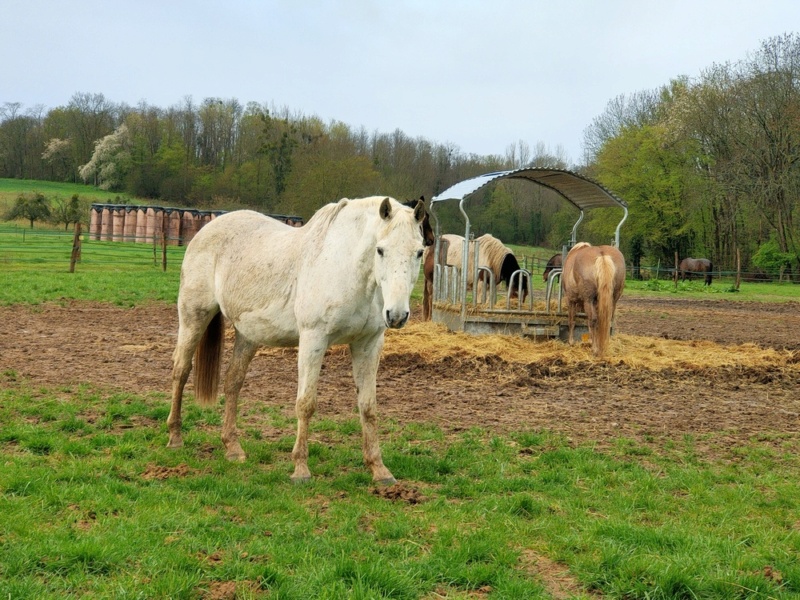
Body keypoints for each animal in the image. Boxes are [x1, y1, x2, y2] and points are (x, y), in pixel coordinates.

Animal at [166, 195, 428, 486]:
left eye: (419, 252)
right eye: (380, 250)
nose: (397, 315)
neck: (345, 267)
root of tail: (204, 232)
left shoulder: (368, 344)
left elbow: (368, 407)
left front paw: (379, 470)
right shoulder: (313, 339)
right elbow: (306, 404)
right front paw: (301, 470)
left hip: (248, 335)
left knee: (233, 381)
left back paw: (233, 449)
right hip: (194, 316)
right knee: (181, 371)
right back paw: (175, 437)